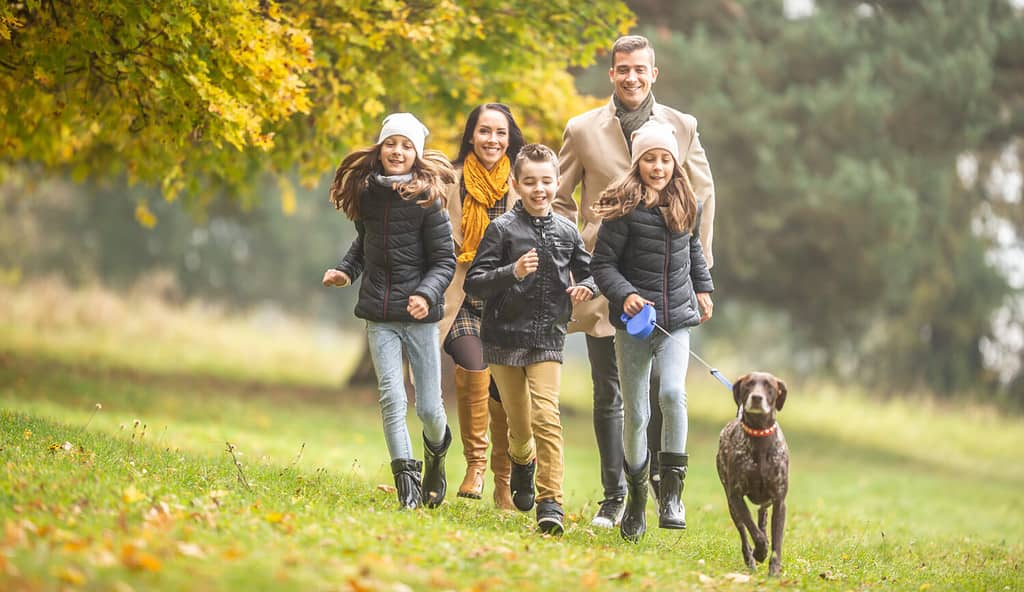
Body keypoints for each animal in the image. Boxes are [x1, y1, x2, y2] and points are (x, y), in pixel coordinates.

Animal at [716, 370, 786, 573]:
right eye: (748, 384)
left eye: (769, 386)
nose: (756, 398)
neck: (759, 437)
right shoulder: (736, 497)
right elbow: (753, 531)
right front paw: (760, 551)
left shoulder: (779, 501)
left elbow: (777, 543)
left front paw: (774, 572)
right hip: (732, 506)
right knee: (745, 534)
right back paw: (751, 559)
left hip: (766, 503)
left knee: (762, 518)